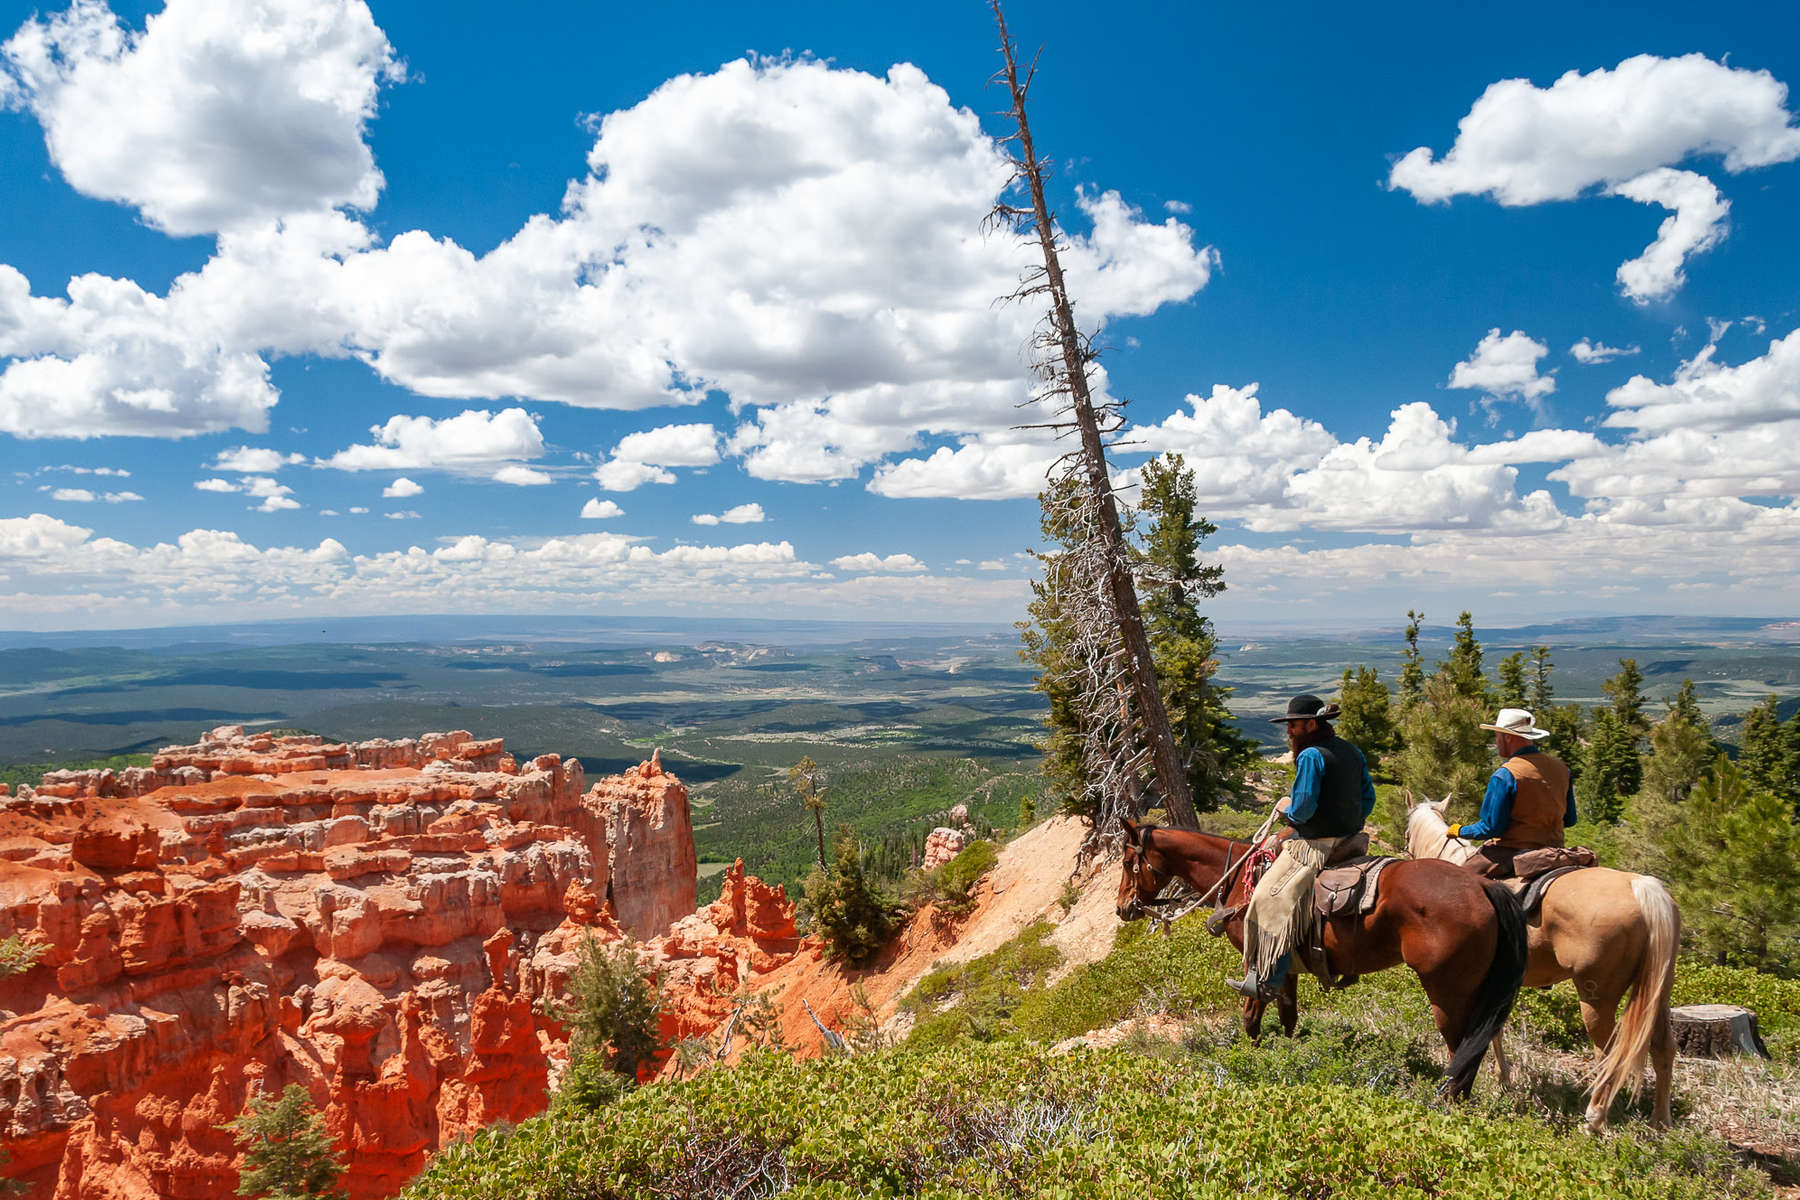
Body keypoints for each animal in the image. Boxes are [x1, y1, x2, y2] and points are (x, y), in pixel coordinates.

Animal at [1116, 816, 1526, 1101]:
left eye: (1126, 862)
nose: (1122, 907)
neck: (1237, 880)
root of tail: (1481, 886)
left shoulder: (1259, 961)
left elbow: (1251, 1018)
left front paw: (1250, 1063)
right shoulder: (1286, 968)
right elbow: (1288, 1018)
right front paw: (1288, 1057)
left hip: (1447, 994)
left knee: (1461, 1054)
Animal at [1396, 791, 1677, 1129]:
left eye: (1406, 832)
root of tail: (1642, 888)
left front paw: (1498, 1078)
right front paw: (1503, 1079)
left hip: (1597, 999)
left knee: (1608, 1054)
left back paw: (1594, 1119)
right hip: (1658, 992)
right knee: (1664, 1048)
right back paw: (1661, 1120)